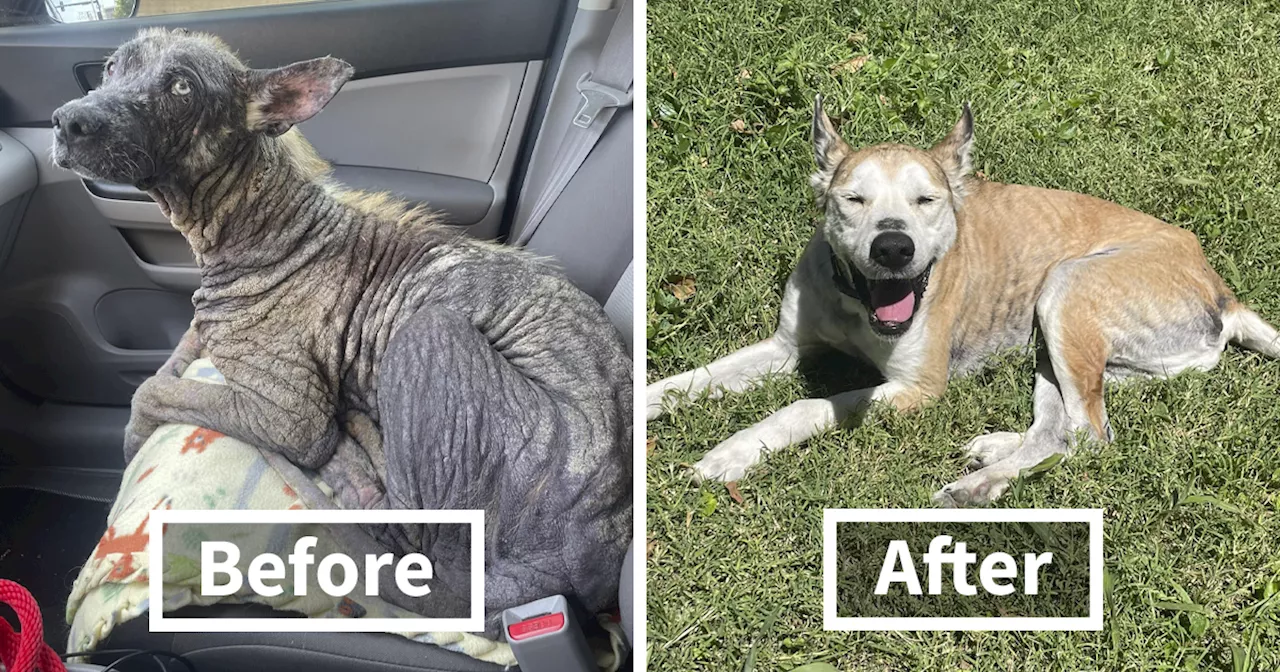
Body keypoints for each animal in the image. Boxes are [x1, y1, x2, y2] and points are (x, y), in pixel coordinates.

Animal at [52, 28, 632, 632]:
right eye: (112, 68)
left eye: (181, 87)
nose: (68, 120)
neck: (254, 225)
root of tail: (579, 565)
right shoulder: (202, 331)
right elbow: (170, 361)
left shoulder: (289, 416)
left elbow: (154, 390)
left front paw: (132, 442)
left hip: (427, 333)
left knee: (410, 534)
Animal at [650, 96, 1280, 506]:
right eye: (852, 199)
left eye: (926, 200)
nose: (893, 247)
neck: (859, 305)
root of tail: (1222, 290)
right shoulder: (786, 347)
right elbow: (690, 380)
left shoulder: (917, 389)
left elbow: (806, 405)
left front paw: (728, 454)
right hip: (1056, 346)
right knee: (1060, 430)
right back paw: (993, 456)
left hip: (1065, 289)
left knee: (1091, 437)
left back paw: (981, 484)